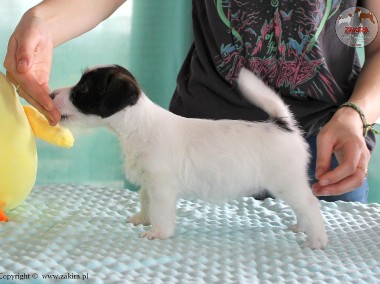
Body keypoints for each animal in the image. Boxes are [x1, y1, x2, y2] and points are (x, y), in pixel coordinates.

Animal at [52, 64, 328, 248]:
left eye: (83, 88)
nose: (52, 94)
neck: (138, 125)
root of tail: (284, 125)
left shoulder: (162, 187)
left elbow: (161, 211)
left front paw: (158, 233)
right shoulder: (149, 183)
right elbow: (145, 201)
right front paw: (143, 219)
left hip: (287, 184)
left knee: (311, 206)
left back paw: (316, 240)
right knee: (303, 208)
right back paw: (301, 227)